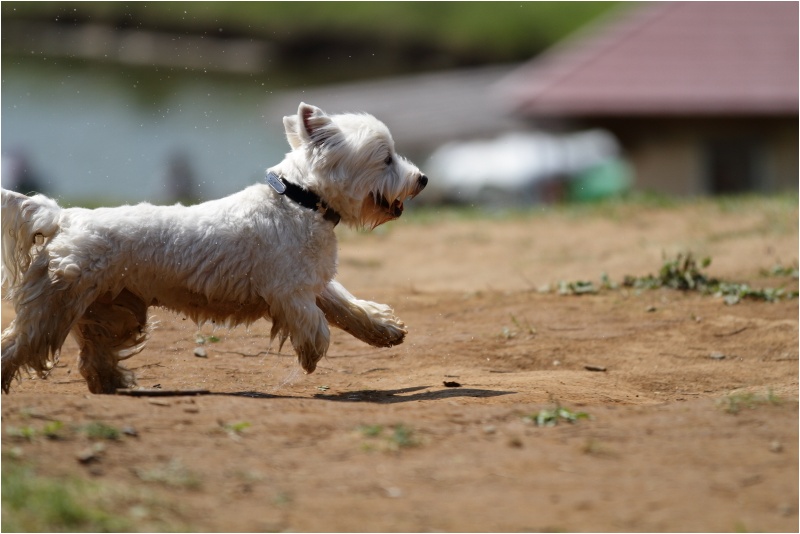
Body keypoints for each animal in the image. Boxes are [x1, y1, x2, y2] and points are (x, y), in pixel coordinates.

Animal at [3, 103, 428, 394]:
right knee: (18, 344)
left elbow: (347, 307)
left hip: (113, 309)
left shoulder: (312, 281)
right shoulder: (288, 289)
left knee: (93, 355)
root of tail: (63, 216)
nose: (422, 179)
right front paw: (309, 356)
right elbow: (315, 325)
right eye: (386, 158)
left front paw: (386, 330)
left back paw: (113, 382)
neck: (301, 200)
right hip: (56, 306)